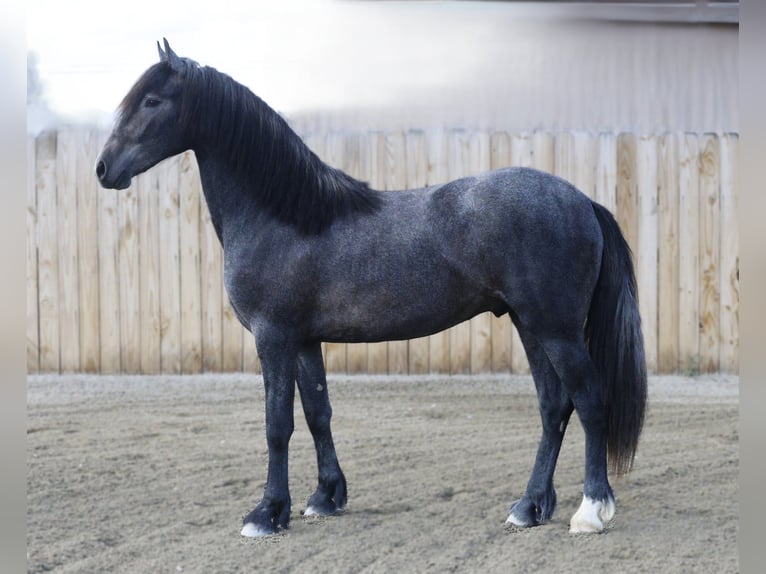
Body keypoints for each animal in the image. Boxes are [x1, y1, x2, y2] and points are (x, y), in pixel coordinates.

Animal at [96, 39, 647, 537]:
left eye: (151, 101)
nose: (104, 168)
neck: (288, 215)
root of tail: (582, 200)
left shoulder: (273, 338)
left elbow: (277, 424)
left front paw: (267, 513)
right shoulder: (303, 341)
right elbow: (317, 413)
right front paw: (325, 497)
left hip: (556, 330)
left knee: (589, 401)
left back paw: (590, 510)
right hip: (529, 325)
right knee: (554, 407)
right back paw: (530, 506)